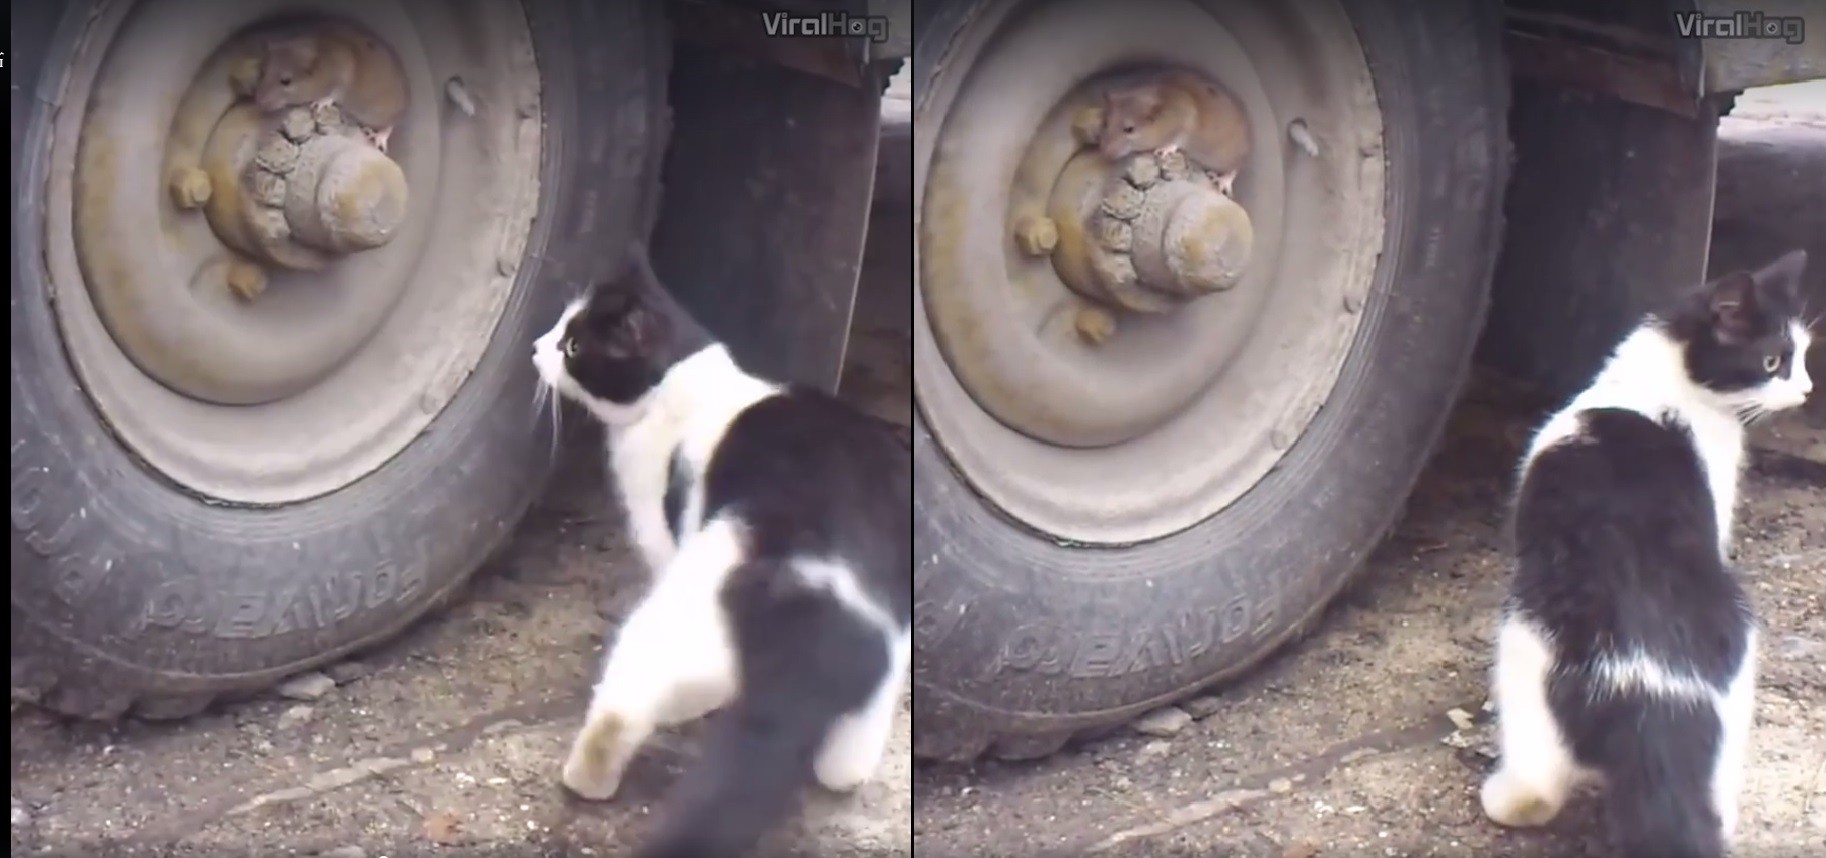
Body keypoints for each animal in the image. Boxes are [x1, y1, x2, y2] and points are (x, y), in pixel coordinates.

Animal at [529, 244, 913, 854]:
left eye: (573, 347)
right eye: (561, 328)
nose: (535, 347)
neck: (682, 383)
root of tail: (821, 627)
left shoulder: (663, 528)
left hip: (682, 624)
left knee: (623, 710)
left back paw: (588, 777)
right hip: (882, 678)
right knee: (843, 765)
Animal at [1482, 250, 1811, 858]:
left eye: (1801, 355)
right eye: (1773, 360)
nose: (1806, 389)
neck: (1666, 388)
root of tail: (1652, 699)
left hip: (1524, 651)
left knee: (1539, 779)